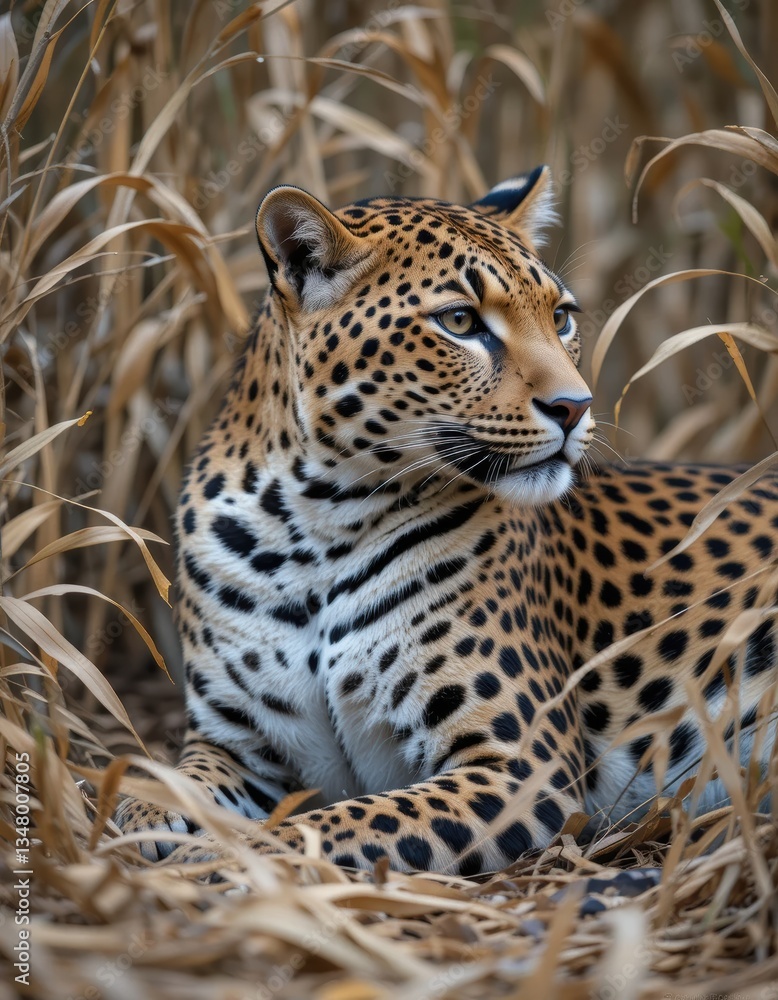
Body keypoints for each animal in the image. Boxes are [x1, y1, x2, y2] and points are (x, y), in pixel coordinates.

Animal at [116, 166, 778, 876]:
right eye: (460, 320)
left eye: (560, 317)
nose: (576, 407)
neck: (314, 521)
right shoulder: (236, 742)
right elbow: (175, 777)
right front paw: (143, 817)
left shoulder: (520, 768)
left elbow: (334, 825)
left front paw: (229, 860)